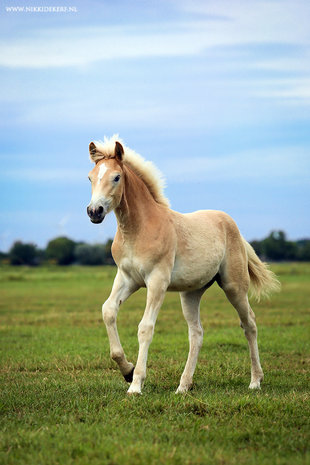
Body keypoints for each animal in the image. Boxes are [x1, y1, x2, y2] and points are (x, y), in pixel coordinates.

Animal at [86, 136, 280, 394]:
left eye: (116, 177)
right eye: (90, 177)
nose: (94, 211)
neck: (139, 229)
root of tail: (234, 228)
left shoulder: (157, 281)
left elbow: (145, 327)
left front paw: (136, 384)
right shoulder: (127, 278)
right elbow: (108, 311)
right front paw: (127, 371)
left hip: (234, 287)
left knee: (249, 323)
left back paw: (255, 381)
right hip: (191, 293)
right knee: (196, 333)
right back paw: (183, 386)